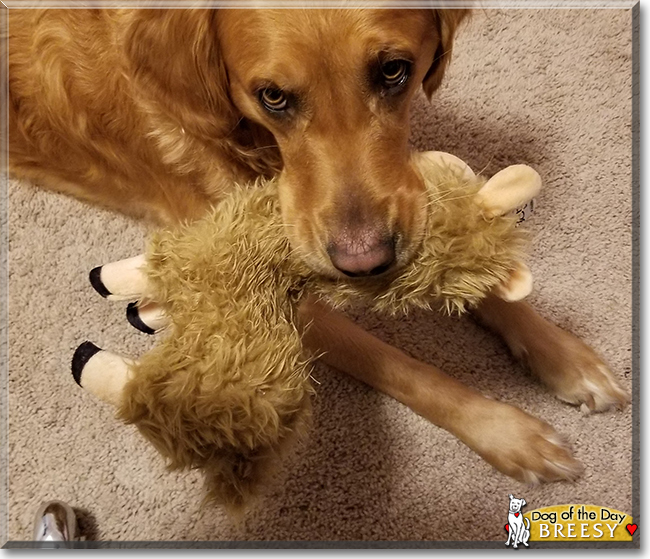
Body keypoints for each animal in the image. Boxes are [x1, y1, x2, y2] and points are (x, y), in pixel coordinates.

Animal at [8, 8, 628, 488]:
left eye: (395, 71)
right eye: (273, 96)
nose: (366, 263)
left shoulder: (403, 195)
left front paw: (563, 355)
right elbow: (403, 367)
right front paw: (509, 432)